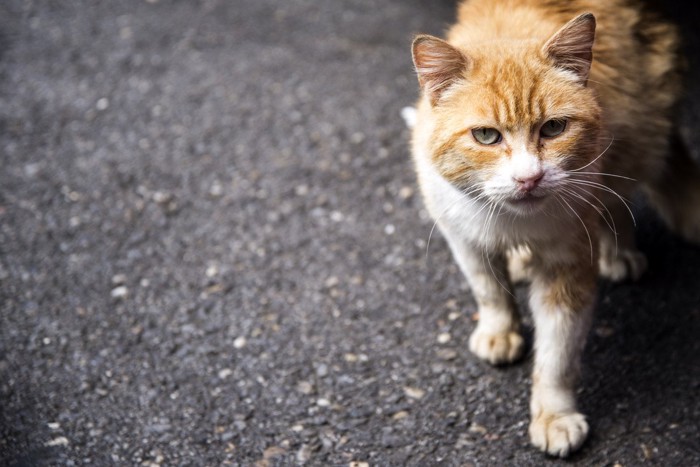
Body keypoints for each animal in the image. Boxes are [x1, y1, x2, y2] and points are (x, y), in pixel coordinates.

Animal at [410, 0, 700, 458]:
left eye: (553, 128)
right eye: (486, 135)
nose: (529, 178)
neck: (512, 221)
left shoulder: (568, 265)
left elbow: (557, 356)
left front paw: (553, 415)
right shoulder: (461, 234)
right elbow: (487, 289)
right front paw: (499, 330)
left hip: (636, 138)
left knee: (618, 199)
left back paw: (618, 252)